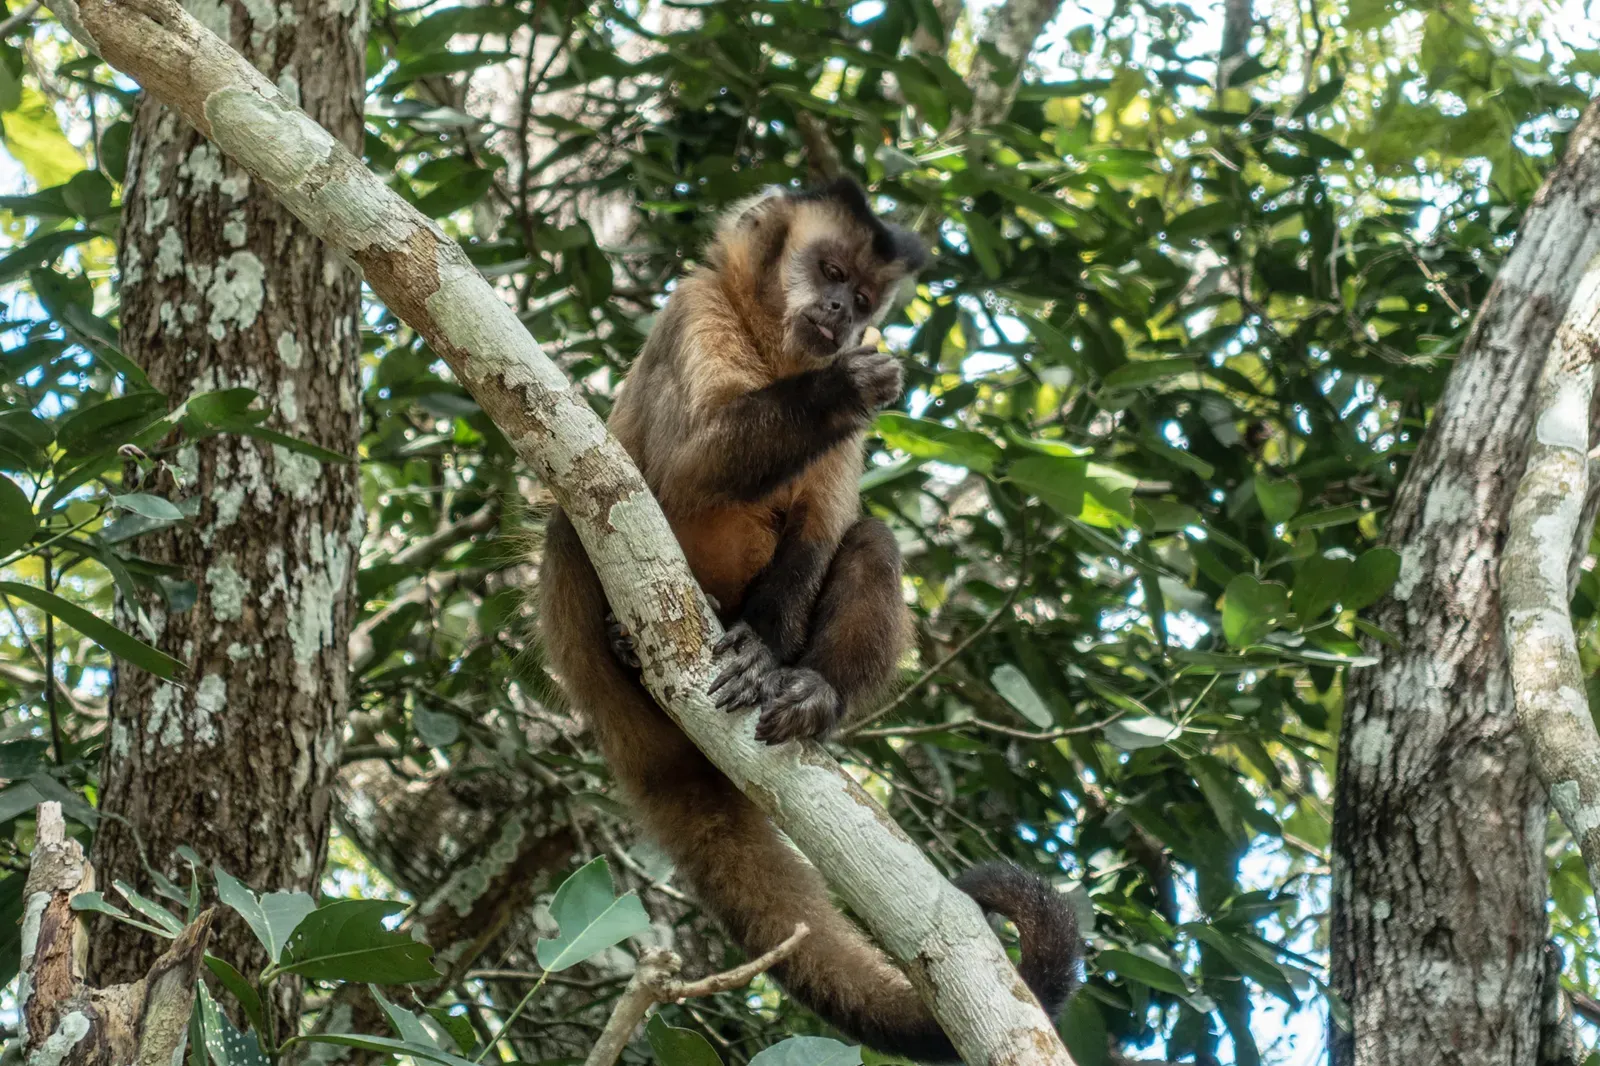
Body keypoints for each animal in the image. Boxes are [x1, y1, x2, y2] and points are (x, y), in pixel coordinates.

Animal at [536, 176, 1082, 1060]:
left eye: (861, 298)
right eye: (827, 268)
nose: (836, 311)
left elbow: (821, 534)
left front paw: (768, 659)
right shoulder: (694, 308)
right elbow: (683, 466)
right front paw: (842, 389)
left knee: (870, 542)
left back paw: (812, 694)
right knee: (573, 516)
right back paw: (624, 648)